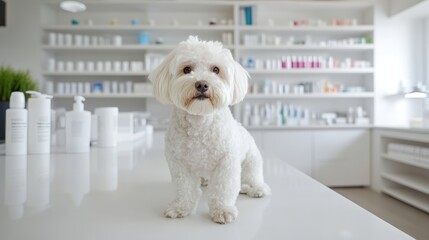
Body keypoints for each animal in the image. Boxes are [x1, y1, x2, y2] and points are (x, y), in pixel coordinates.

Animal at [149, 36, 270, 224]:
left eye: (216, 69)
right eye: (187, 69)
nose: (202, 84)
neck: (200, 121)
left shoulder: (227, 162)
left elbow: (223, 188)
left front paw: (223, 210)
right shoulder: (179, 163)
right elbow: (185, 188)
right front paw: (180, 207)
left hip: (251, 164)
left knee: (254, 178)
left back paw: (257, 189)